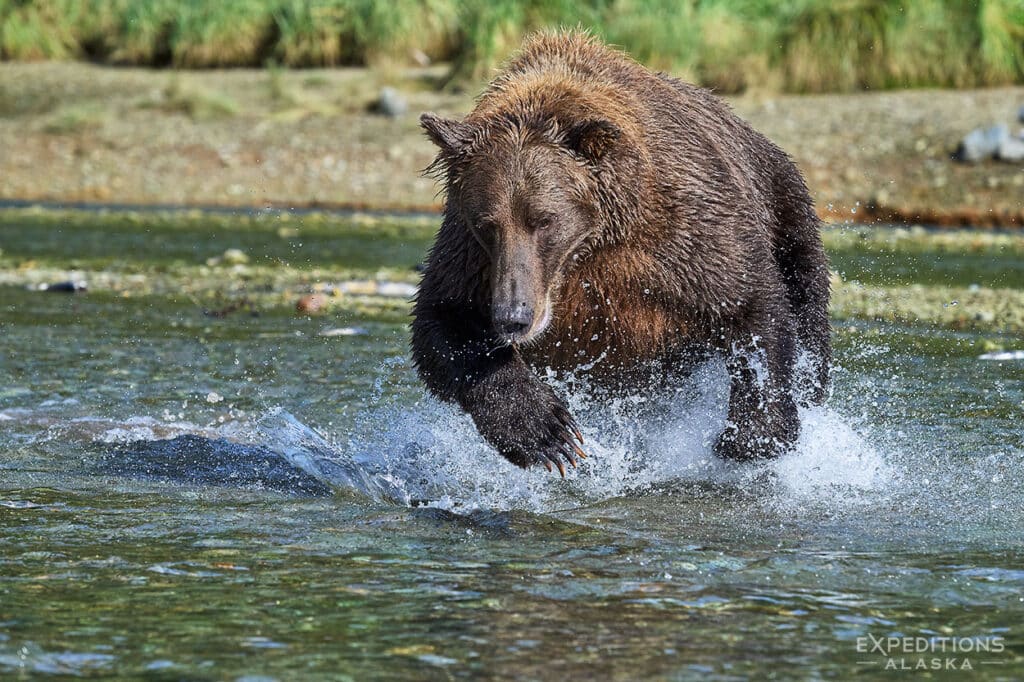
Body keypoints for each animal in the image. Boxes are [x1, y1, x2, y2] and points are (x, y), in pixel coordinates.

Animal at [411, 30, 830, 475]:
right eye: (488, 223)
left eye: (544, 219)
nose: (513, 317)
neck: (592, 249)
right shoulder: (469, 253)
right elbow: (444, 321)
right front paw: (547, 432)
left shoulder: (686, 226)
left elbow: (750, 303)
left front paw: (753, 437)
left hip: (785, 204)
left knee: (807, 307)